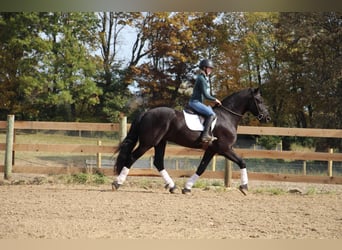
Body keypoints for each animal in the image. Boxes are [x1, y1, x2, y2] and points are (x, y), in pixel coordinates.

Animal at [113, 88, 272, 195]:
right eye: (260, 101)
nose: (267, 118)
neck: (227, 117)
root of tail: (146, 113)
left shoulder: (212, 150)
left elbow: (201, 168)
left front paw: (187, 187)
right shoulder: (225, 148)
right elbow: (242, 162)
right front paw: (244, 187)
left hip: (160, 142)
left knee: (158, 162)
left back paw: (172, 187)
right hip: (148, 143)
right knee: (132, 158)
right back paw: (117, 183)